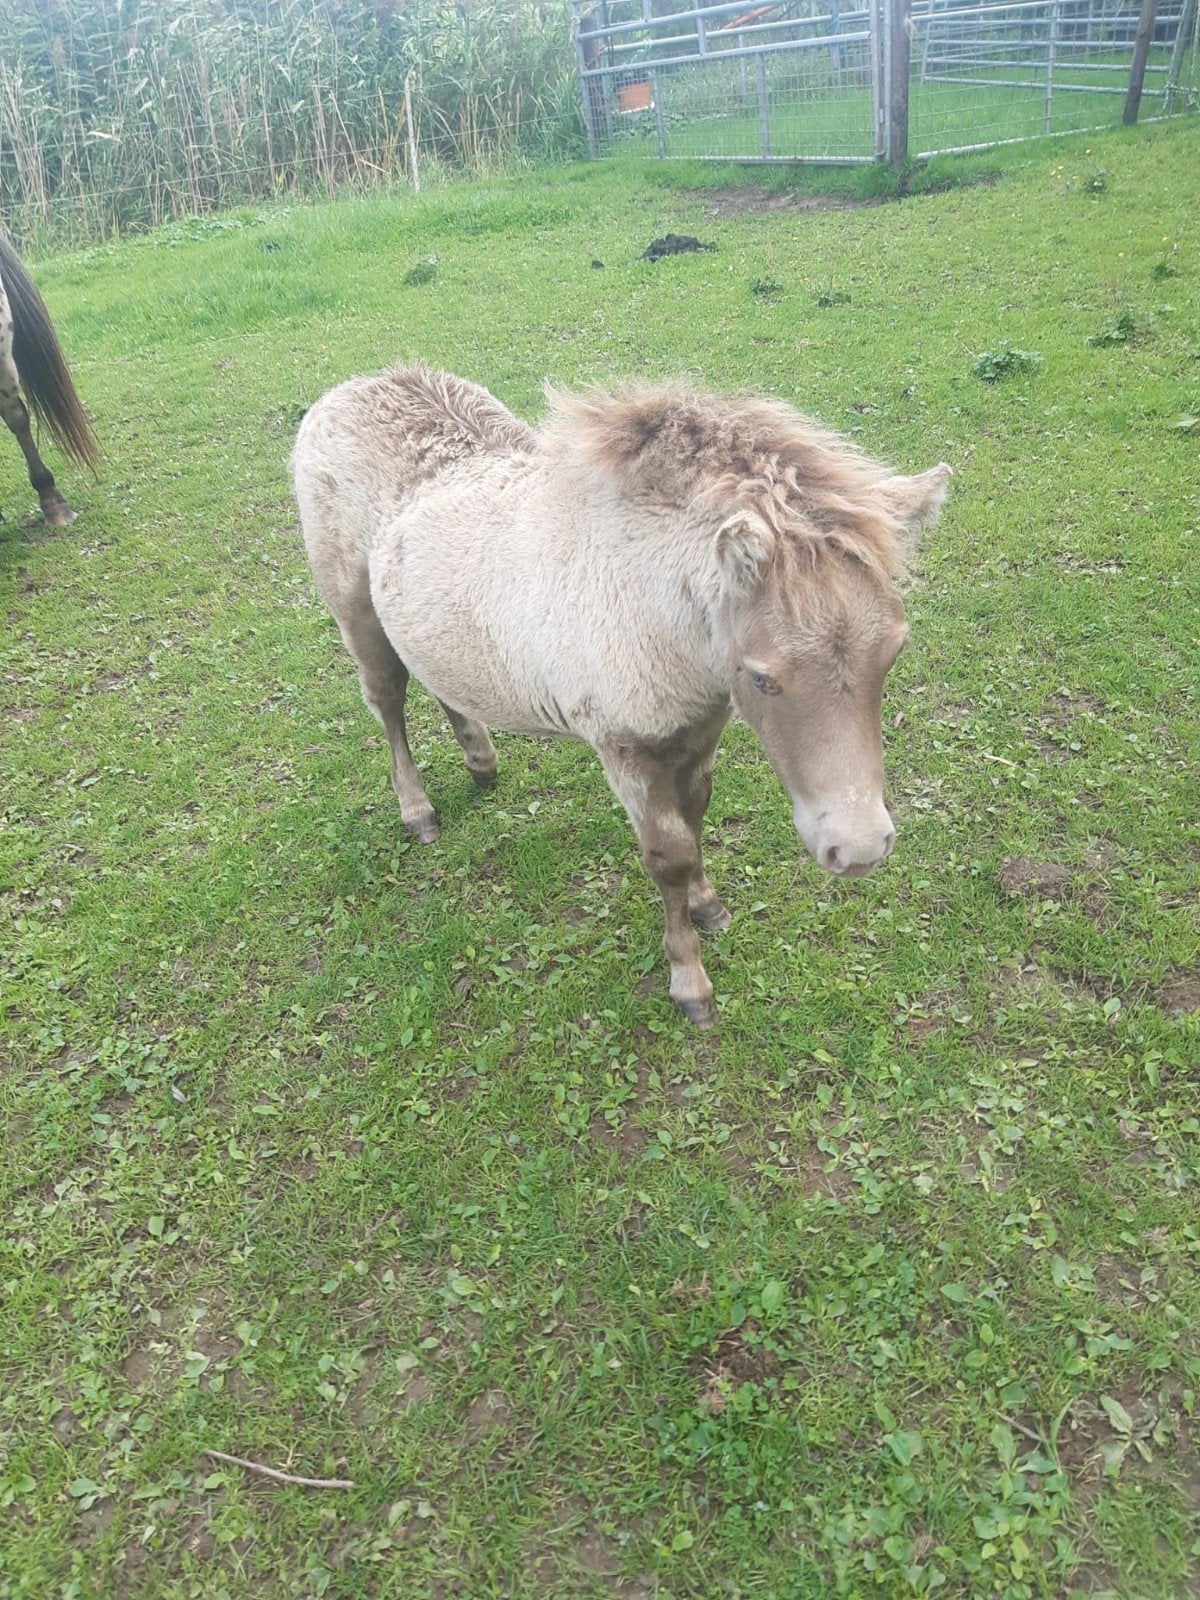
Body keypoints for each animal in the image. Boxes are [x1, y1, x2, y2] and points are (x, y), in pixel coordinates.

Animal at [291, 364, 950, 1026]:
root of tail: (355, 386)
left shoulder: (700, 732)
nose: (858, 850)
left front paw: (707, 904)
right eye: (762, 677)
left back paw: (480, 760)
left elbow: (696, 818)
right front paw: (690, 982)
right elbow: (669, 855)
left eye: (894, 652)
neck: (655, 608)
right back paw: (417, 810)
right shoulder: (626, 750)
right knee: (387, 698)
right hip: (354, 609)